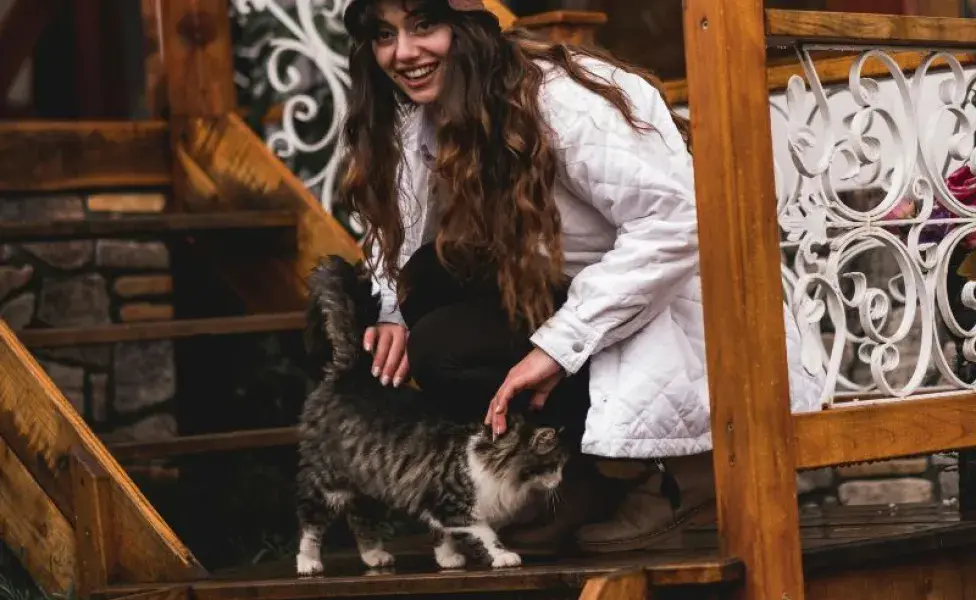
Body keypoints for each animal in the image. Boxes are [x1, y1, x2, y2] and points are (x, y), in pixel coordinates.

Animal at [298, 255, 572, 576]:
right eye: (553, 465)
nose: (559, 482)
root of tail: (351, 374)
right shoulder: (455, 506)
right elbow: (484, 535)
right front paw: (503, 556)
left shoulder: (432, 503)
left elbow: (442, 535)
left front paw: (448, 559)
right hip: (326, 482)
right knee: (310, 524)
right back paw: (308, 562)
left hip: (370, 485)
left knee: (360, 521)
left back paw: (375, 556)